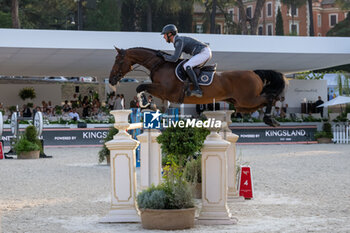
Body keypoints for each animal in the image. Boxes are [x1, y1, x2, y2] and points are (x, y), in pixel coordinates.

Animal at [110, 46, 288, 126]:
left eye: (118, 60)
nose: (111, 80)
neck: (159, 64)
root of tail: (254, 73)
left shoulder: (166, 91)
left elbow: (141, 87)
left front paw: (145, 103)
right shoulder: (164, 93)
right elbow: (143, 89)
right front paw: (148, 104)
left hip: (247, 99)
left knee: (269, 97)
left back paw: (270, 119)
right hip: (242, 104)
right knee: (264, 101)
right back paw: (270, 118)